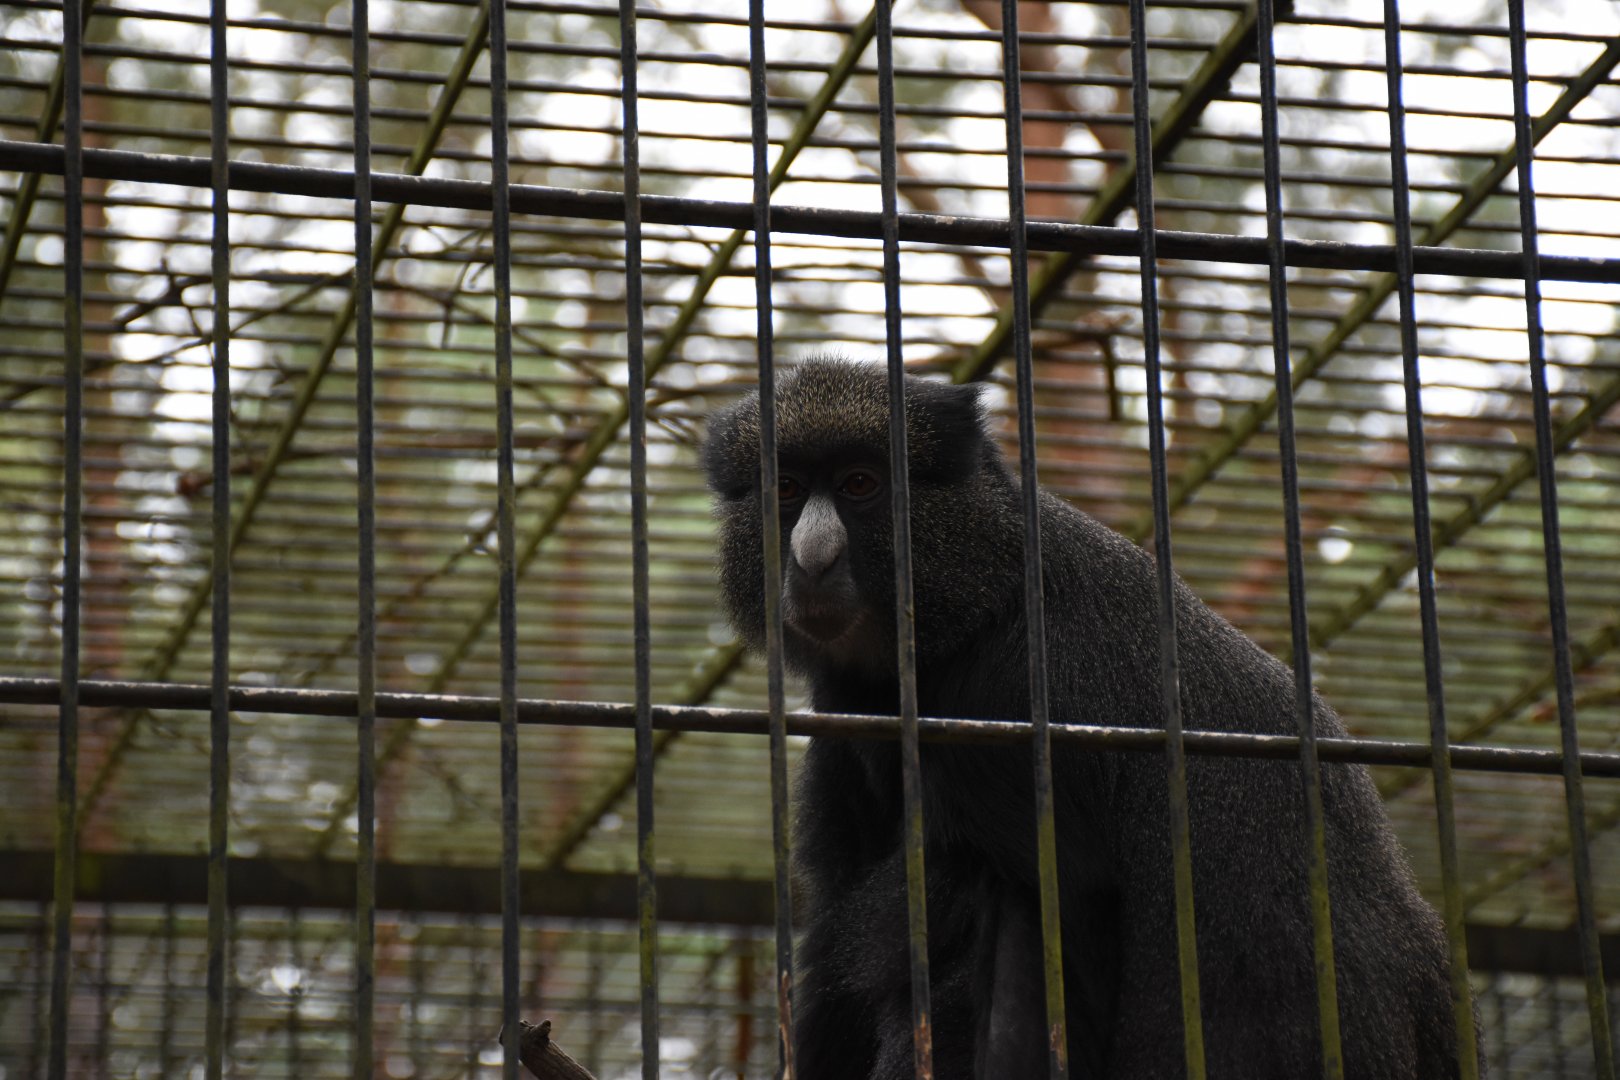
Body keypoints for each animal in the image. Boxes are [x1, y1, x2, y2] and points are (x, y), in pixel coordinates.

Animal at [702, 358, 1479, 1079]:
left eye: (861, 485)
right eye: (786, 491)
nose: (811, 556)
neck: (975, 597)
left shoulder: (1010, 698)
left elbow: (1053, 913)